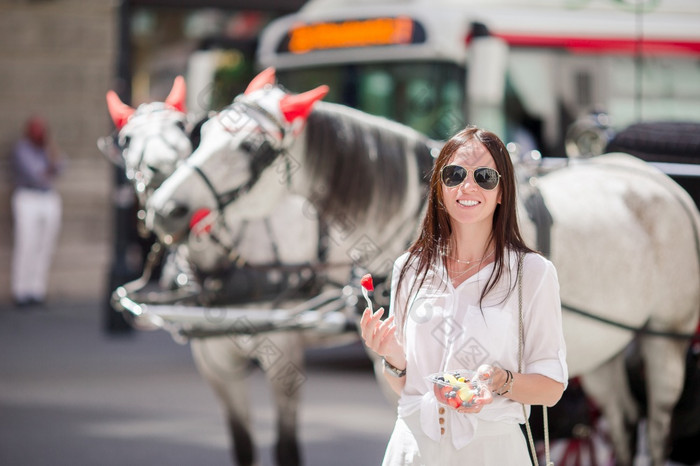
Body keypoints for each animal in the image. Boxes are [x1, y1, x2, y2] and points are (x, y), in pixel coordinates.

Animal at [146, 69, 700, 466]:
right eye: (204, 132)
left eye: (250, 146)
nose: (164, 209)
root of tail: (655, 180)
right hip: (603, 349)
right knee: (623, 423)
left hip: (665, 341)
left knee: (657, 423)